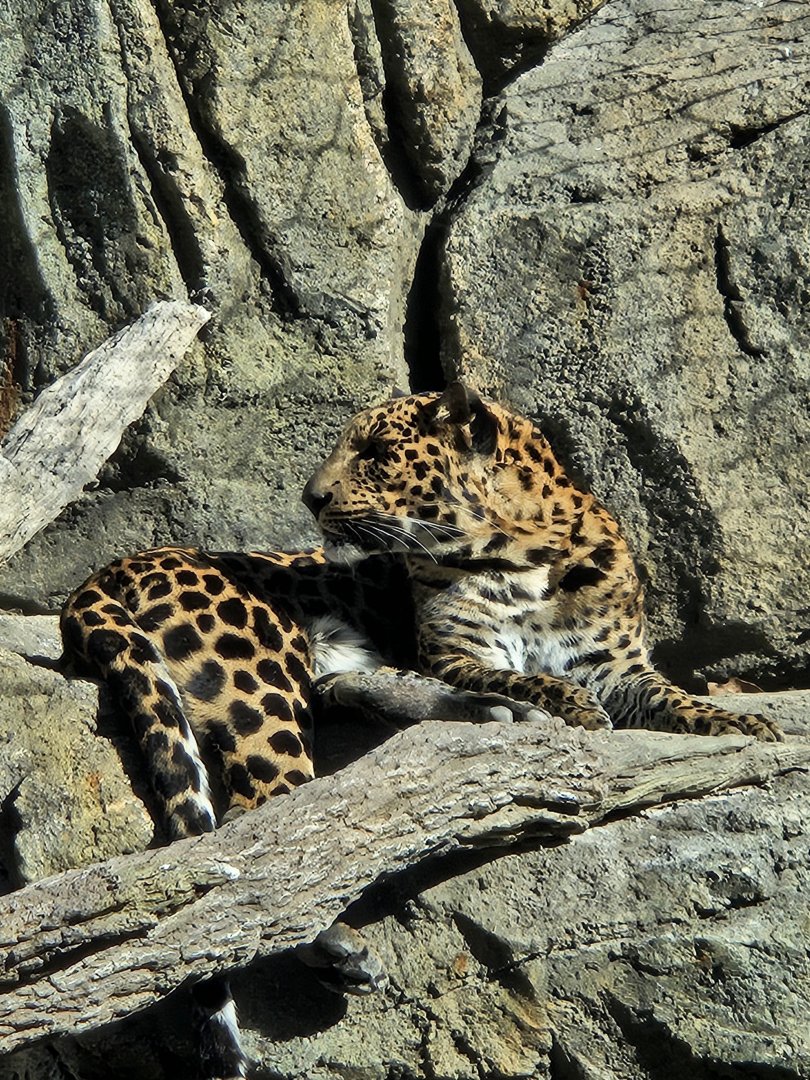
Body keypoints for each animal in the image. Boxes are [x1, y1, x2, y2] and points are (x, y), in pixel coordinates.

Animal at [60, 381, 781, 1078]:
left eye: (377, 452)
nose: (311, 497)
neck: (526, 551)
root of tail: (105, 571)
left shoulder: (619, 666)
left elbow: (673, 698)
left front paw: (746, 724)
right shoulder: (459, 654)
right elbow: (528, 677)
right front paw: (571, 709)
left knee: (356, 707)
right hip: (262, 678)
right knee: (261, 830)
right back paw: (337, 940)